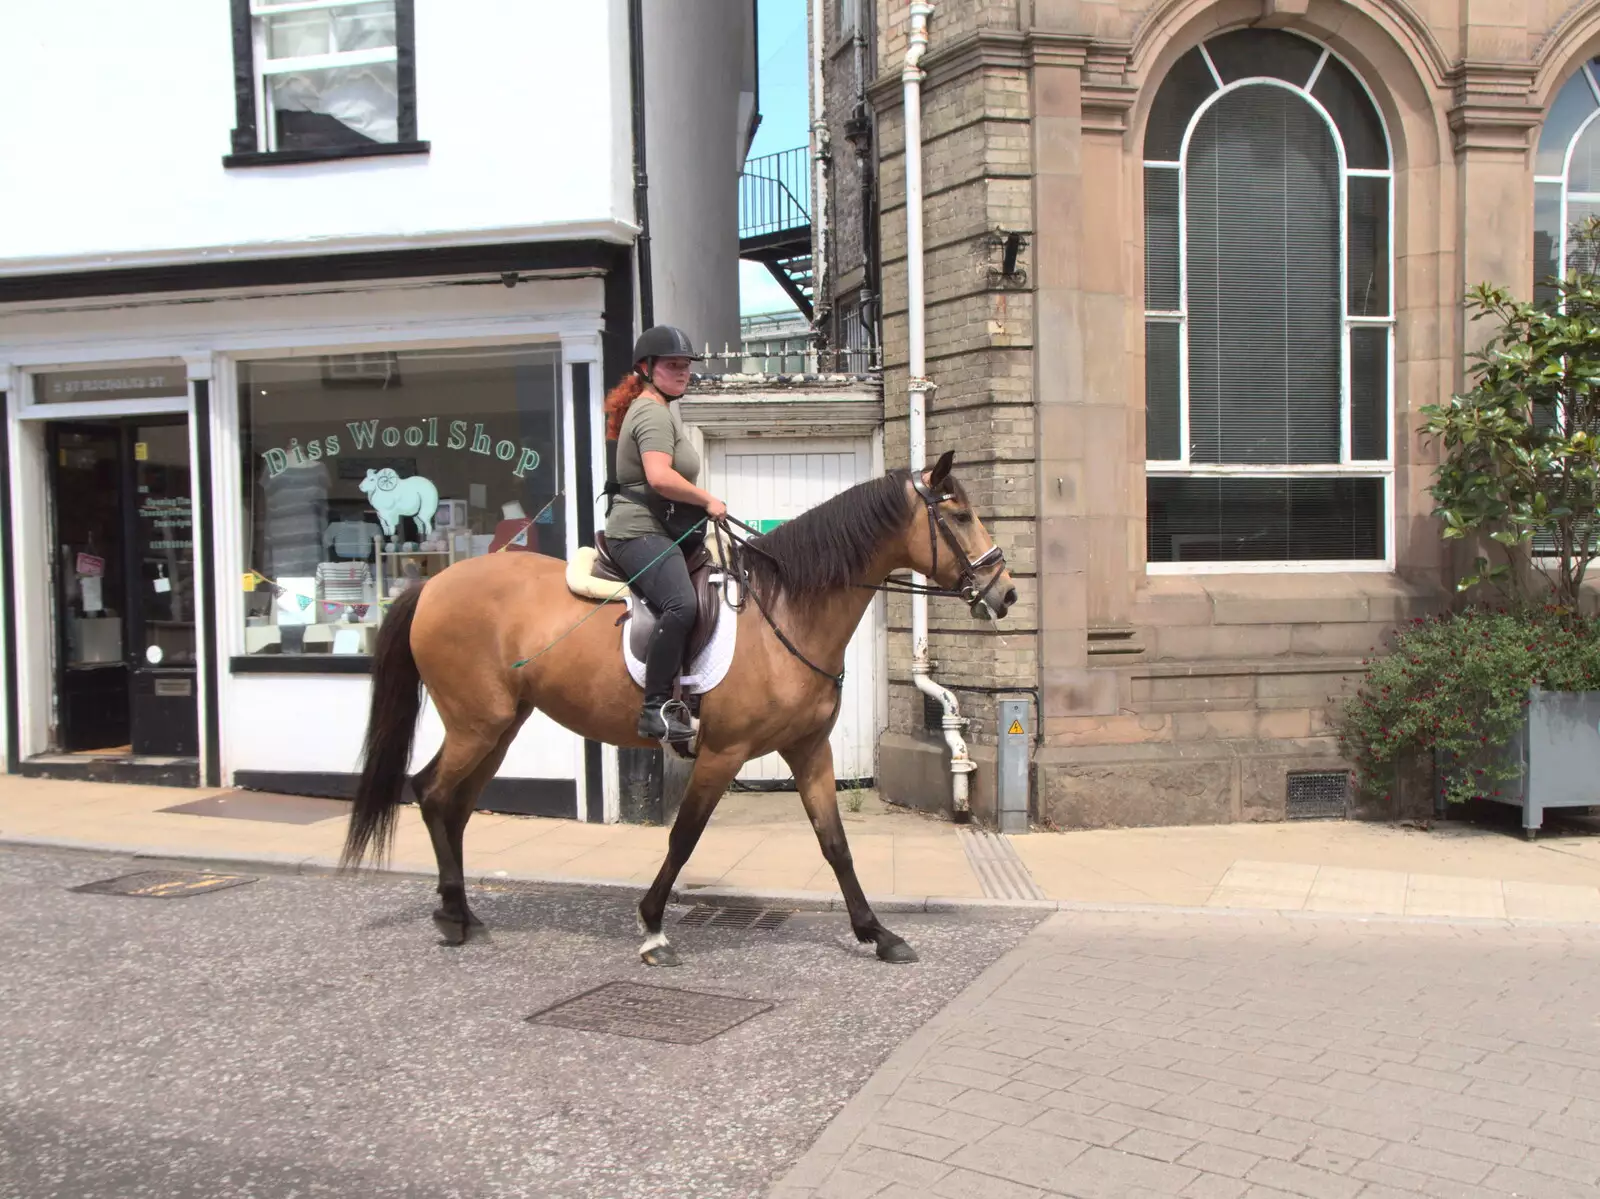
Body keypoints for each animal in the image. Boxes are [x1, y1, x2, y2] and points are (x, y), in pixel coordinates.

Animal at [342, 448, 1017, 960]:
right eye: (959, 515)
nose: (1005, 592)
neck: (786, 612)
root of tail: (433, 583)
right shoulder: (722, 754)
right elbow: (684, 838)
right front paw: (651, 928)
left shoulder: (809, 750)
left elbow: (835, 844)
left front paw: (878, 933)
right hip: (477, 724)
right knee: (432, 794)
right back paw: (454, 918)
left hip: (500, 726)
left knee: (454, 806)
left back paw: (462, 913)